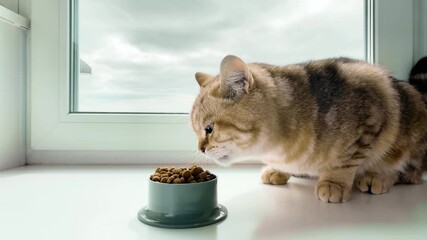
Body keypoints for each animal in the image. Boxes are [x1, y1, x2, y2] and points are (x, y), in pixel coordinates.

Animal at [192, 55, 427, 203]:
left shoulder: (368, 120)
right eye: (195, 130)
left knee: (409, 172)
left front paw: (334, 182)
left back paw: (378, 176)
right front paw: (278, 170)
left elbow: (345, 161)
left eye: (209, 128)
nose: (201, 149)